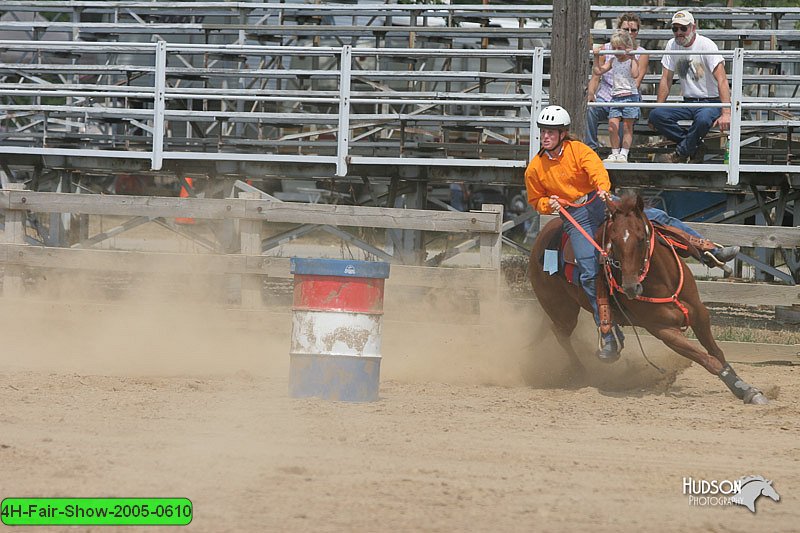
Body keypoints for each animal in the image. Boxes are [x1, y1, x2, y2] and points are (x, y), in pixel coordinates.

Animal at [532, 194, 768, 404]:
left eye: (641, 239)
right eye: (612, 242)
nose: (630, 287)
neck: (664, 282)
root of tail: (542, 236)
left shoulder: (699, 313)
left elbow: (717, 352)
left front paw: (743, 386)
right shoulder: (663, 330)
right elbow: (708, 360)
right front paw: (746, 391)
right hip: (562, 311)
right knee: (560, 334)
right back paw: (581, 371)